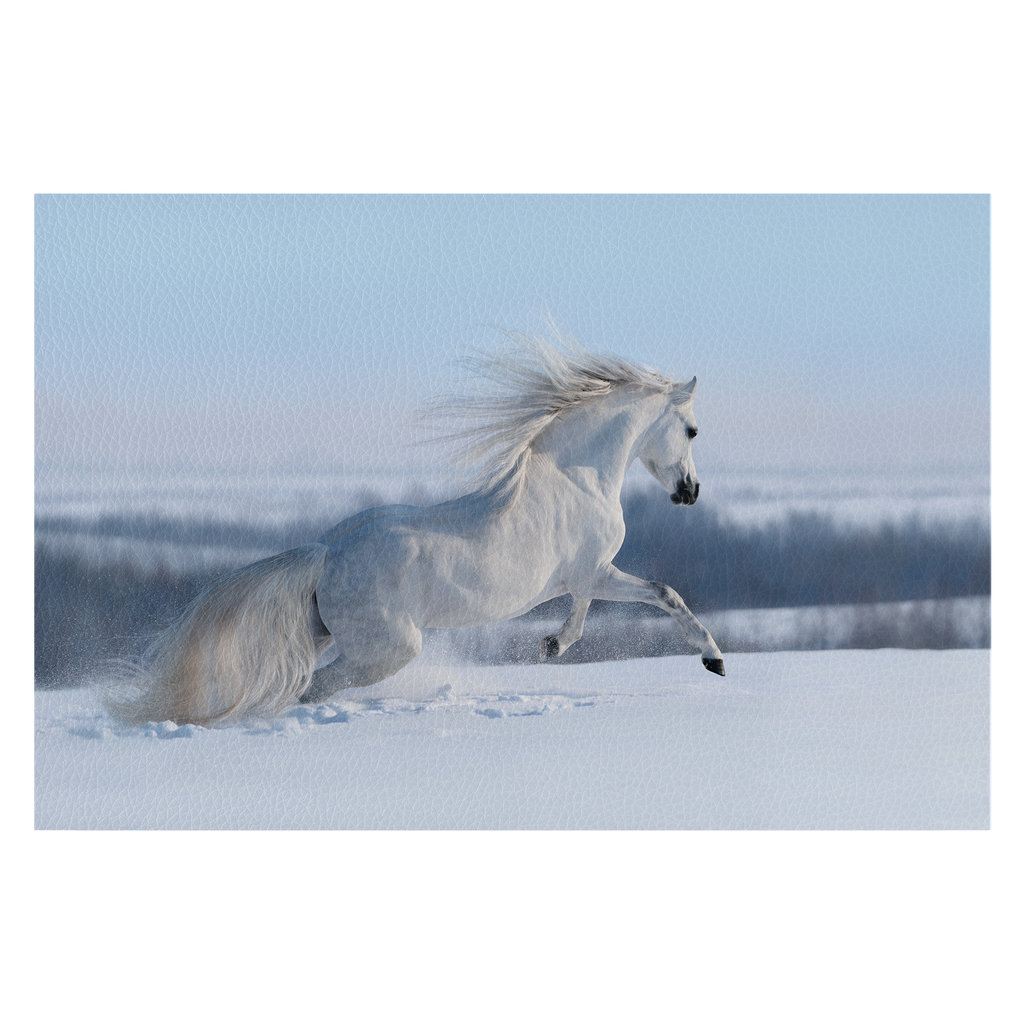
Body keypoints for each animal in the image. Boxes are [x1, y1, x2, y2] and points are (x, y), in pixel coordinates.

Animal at [108, 331, 724, 724]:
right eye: (692, 430)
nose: (690, 492)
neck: (577, 477)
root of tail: (327, 554)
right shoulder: (593, 572)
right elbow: (660, 594)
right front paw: (712, 659)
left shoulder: (586, 577)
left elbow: (614, 605)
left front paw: (553, 645)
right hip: (389, 649)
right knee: (316, 688)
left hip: (326, 632)